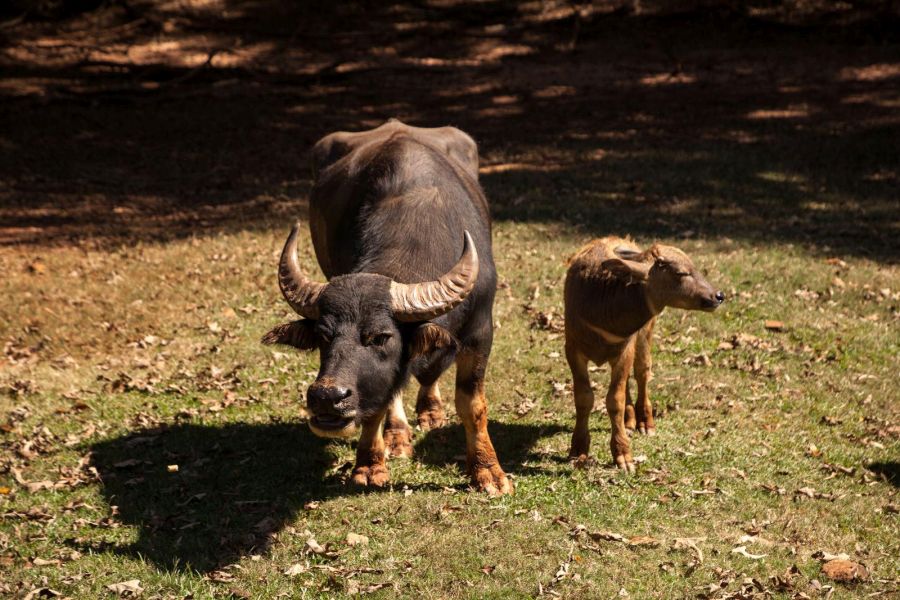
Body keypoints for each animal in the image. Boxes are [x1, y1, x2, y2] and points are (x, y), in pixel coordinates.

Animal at [262, 119, 512, 494]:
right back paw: (397, 435)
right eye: (323, 336)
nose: (327, 396)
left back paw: (430, 411)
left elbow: (472, 405)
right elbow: (380, 398)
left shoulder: (480, 331)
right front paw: (370, 464)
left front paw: (487, 472)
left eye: (381, 337)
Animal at [564, 237, 724, 472]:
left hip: (645, 334)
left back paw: (644, 423)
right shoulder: (572, 350)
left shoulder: (625, 349)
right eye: (681, 273)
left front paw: (623, 456)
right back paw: (630, 420)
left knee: (642, 372)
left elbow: (615, 400)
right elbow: (584, 398)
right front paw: (578, 449)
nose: (718, 296)